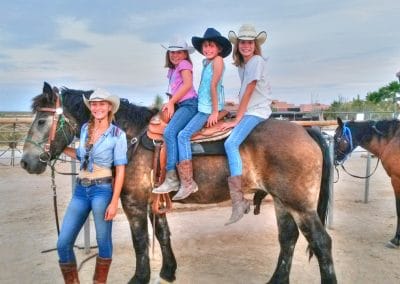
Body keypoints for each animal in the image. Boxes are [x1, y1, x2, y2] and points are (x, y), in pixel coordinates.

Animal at [20, 81, 336, 282]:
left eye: (41, 121)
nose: (26, 162)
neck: (130, 137)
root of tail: (305, 131)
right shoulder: (153, 201)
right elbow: (162, 234)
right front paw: (168, 271)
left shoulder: (133, 202)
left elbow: (140, 241)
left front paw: (140, 278)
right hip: (283, 202)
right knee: (288, 238)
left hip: (299, 204)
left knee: (321, 243)